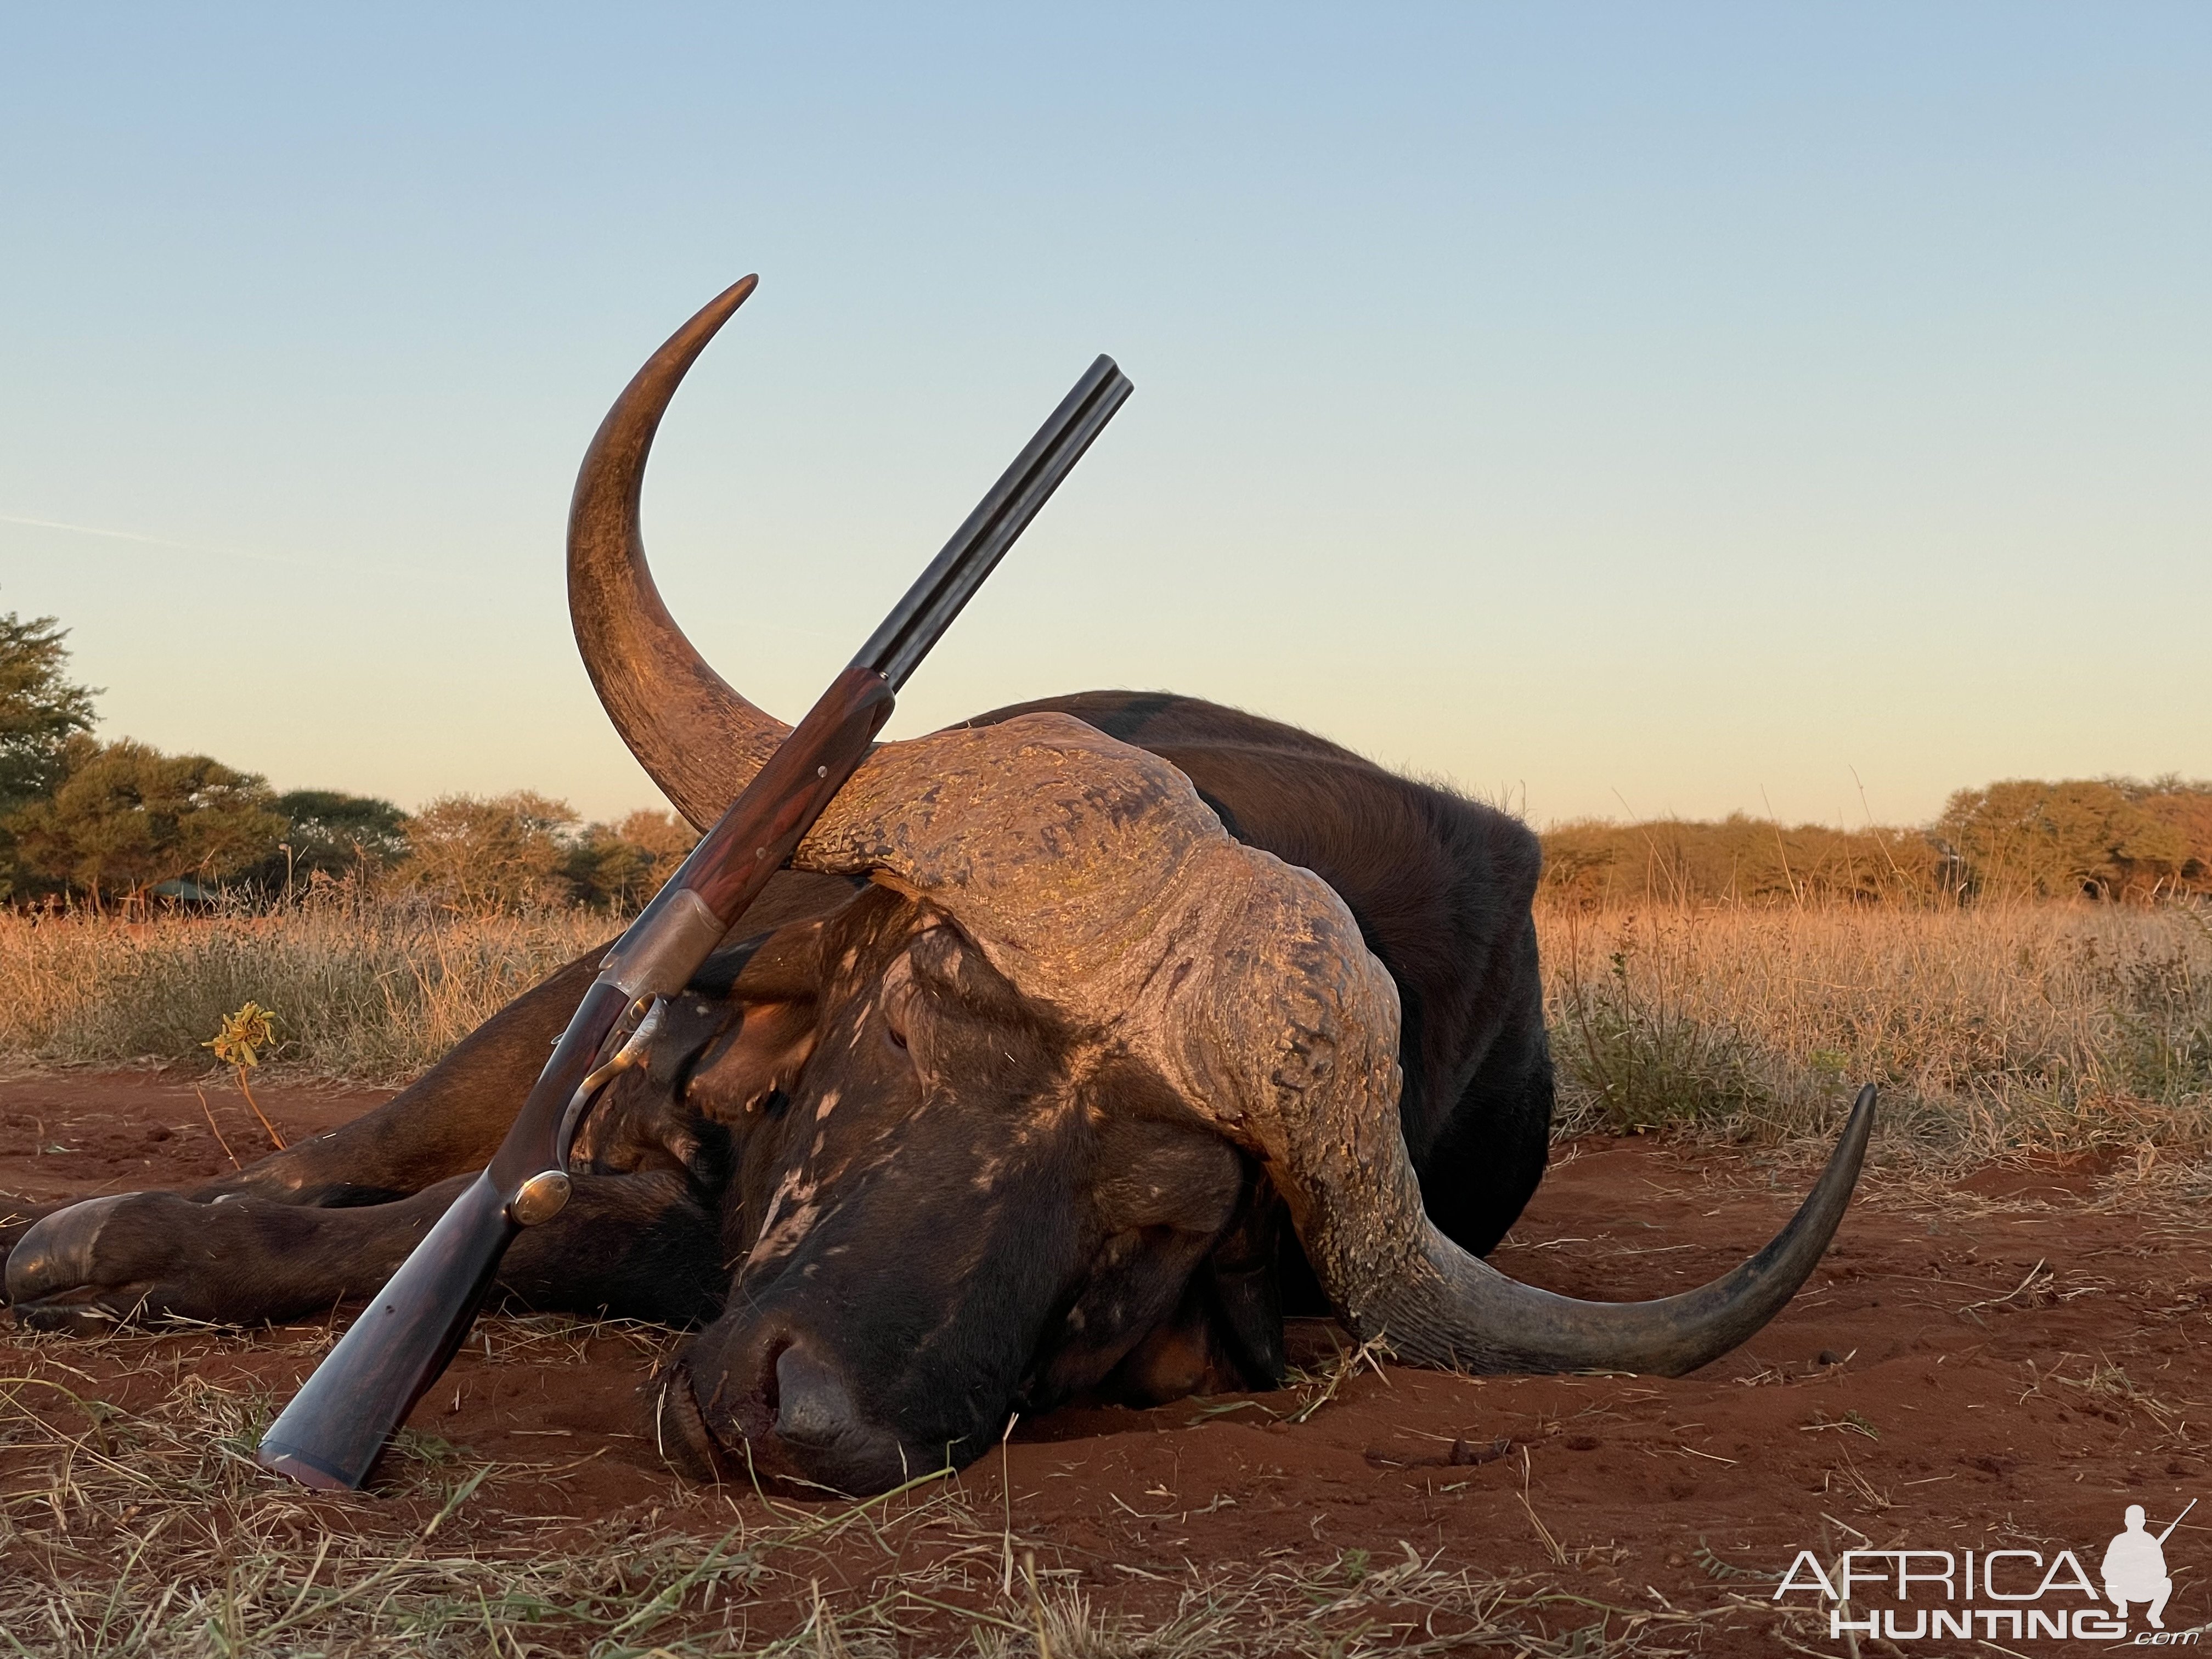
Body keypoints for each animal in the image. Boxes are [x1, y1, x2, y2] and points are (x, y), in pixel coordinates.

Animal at [4, 280, 1867, 1504]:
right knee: (364, 1143)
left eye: (1164, 1217)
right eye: (917, 1029)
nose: (802, 1421)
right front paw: (97, 1240)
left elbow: (554, 1227)